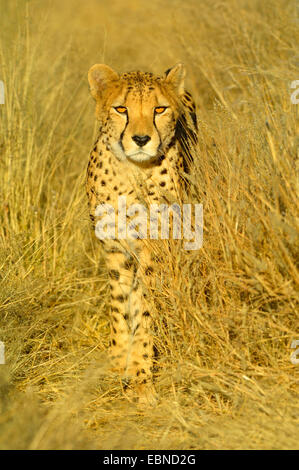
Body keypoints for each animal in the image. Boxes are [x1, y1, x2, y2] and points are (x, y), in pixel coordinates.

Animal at [87, 63, 197, 404]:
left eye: (159, 109)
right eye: (121, 109)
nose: (140, 138)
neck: (131, 171)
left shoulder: (154, 249)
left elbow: (146, 309)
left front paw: (139, 376)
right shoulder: (115, 250)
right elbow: (119, 307)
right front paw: (116, 364)